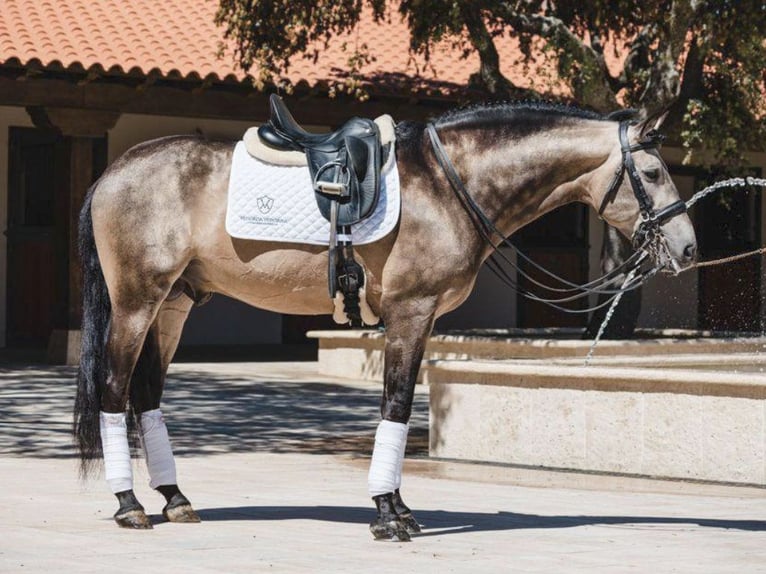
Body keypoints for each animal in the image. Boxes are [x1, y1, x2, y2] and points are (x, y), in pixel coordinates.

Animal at [75, 99, 700, 540]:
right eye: (652, 170)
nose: (689, 247)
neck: (450, 185)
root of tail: (112, 172)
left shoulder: (420, 321)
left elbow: (399, 407)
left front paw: (397, 507)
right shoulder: (410, 312)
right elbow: (396, 405)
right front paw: (387, 514)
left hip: (173, 305)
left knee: (146, 394)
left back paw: (175, 499)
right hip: (136, 303)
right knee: (113, 388)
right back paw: (129, 505)